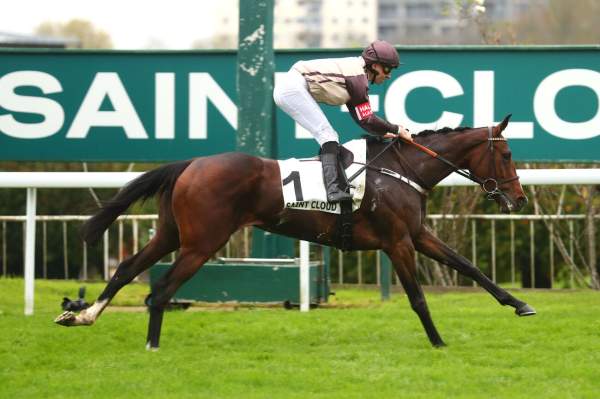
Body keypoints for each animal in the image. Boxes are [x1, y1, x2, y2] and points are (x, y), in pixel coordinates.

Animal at [55, 114, 536, 348]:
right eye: (507, 154)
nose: (518, 199)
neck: (404, 169)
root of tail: (190, 164)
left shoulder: (417, 235)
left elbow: (470, 267)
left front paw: (519, 305)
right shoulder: (398, 242)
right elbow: (418, 298)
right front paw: (438, 342)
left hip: (172, 235)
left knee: (126, 269)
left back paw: (82, 313)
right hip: (201, 243)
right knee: (160, 290)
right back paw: (151, 346)